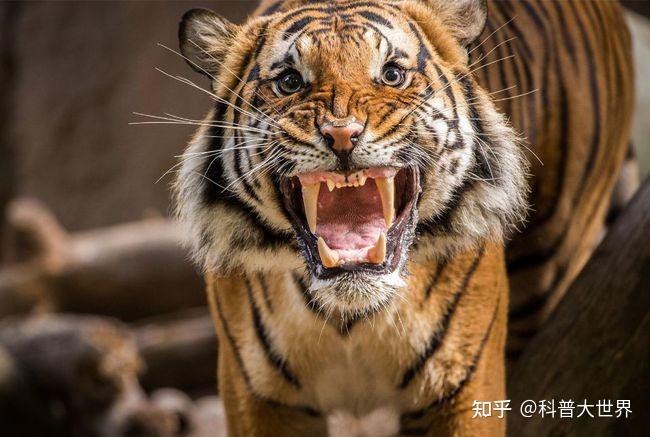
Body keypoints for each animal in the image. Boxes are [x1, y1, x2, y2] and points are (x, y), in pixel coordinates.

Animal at [170, 0, 632, 432]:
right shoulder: (258, 396)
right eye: (290, 82)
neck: (349, 315)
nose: (342, 134)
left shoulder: (463, 385)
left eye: (391, 75)